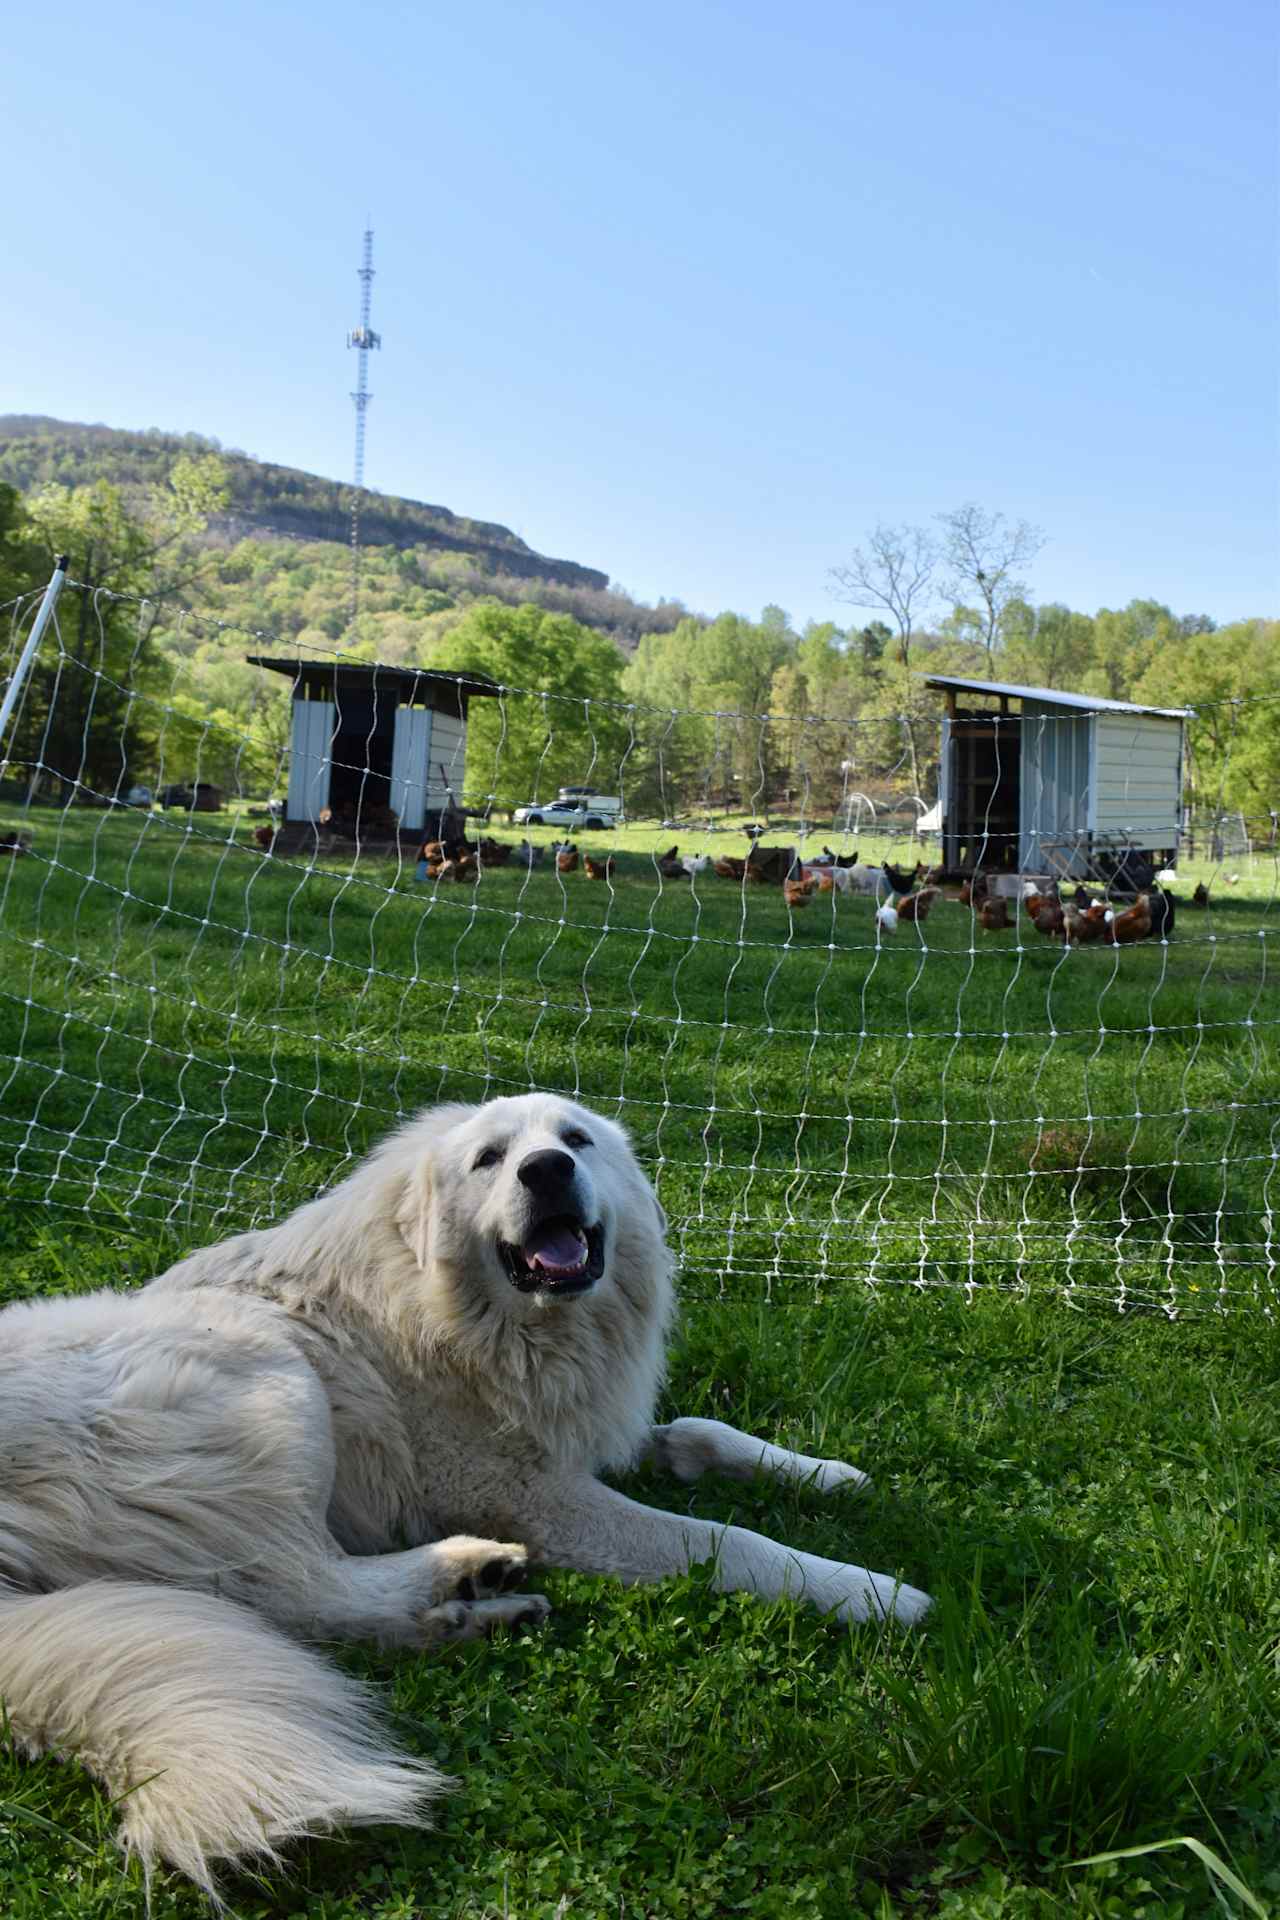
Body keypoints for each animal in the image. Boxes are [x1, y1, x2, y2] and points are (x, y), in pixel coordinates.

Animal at [0, 1098, 932, 1889]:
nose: (548, 1170)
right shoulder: (539, 1498)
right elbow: (729, 1542)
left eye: (576, 1139)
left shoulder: (584, 1437)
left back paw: (473, 1614)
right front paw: (874, 1591)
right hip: (269, 1371)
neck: (460, 1313)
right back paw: (464, 1574)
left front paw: (832, 1475)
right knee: (297, 1588)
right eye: (490, 1160)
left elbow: (704, 1432)